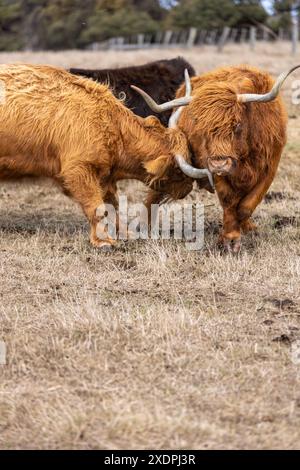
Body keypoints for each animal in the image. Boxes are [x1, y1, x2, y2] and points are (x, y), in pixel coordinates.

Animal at [0, 66, 211, 252]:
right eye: (178, 171)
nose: (188, 189)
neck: (112, 127)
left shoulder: (105, 176)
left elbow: (113, 205)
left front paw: (126, 234)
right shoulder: (78, 171)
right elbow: (96, 206)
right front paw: (103, 242)